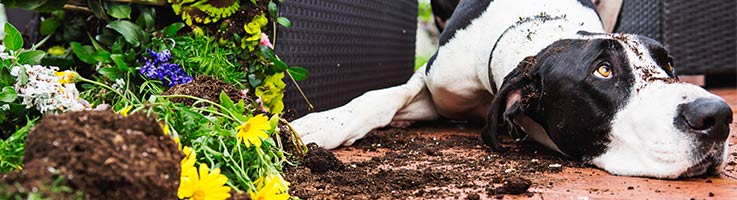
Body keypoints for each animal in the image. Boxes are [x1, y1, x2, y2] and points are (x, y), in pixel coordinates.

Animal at [290, 0, 732, 178]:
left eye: (667, 64)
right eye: (603, 71)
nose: (718, 116)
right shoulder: (436, 83)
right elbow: (379, 98)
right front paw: (317, 126)